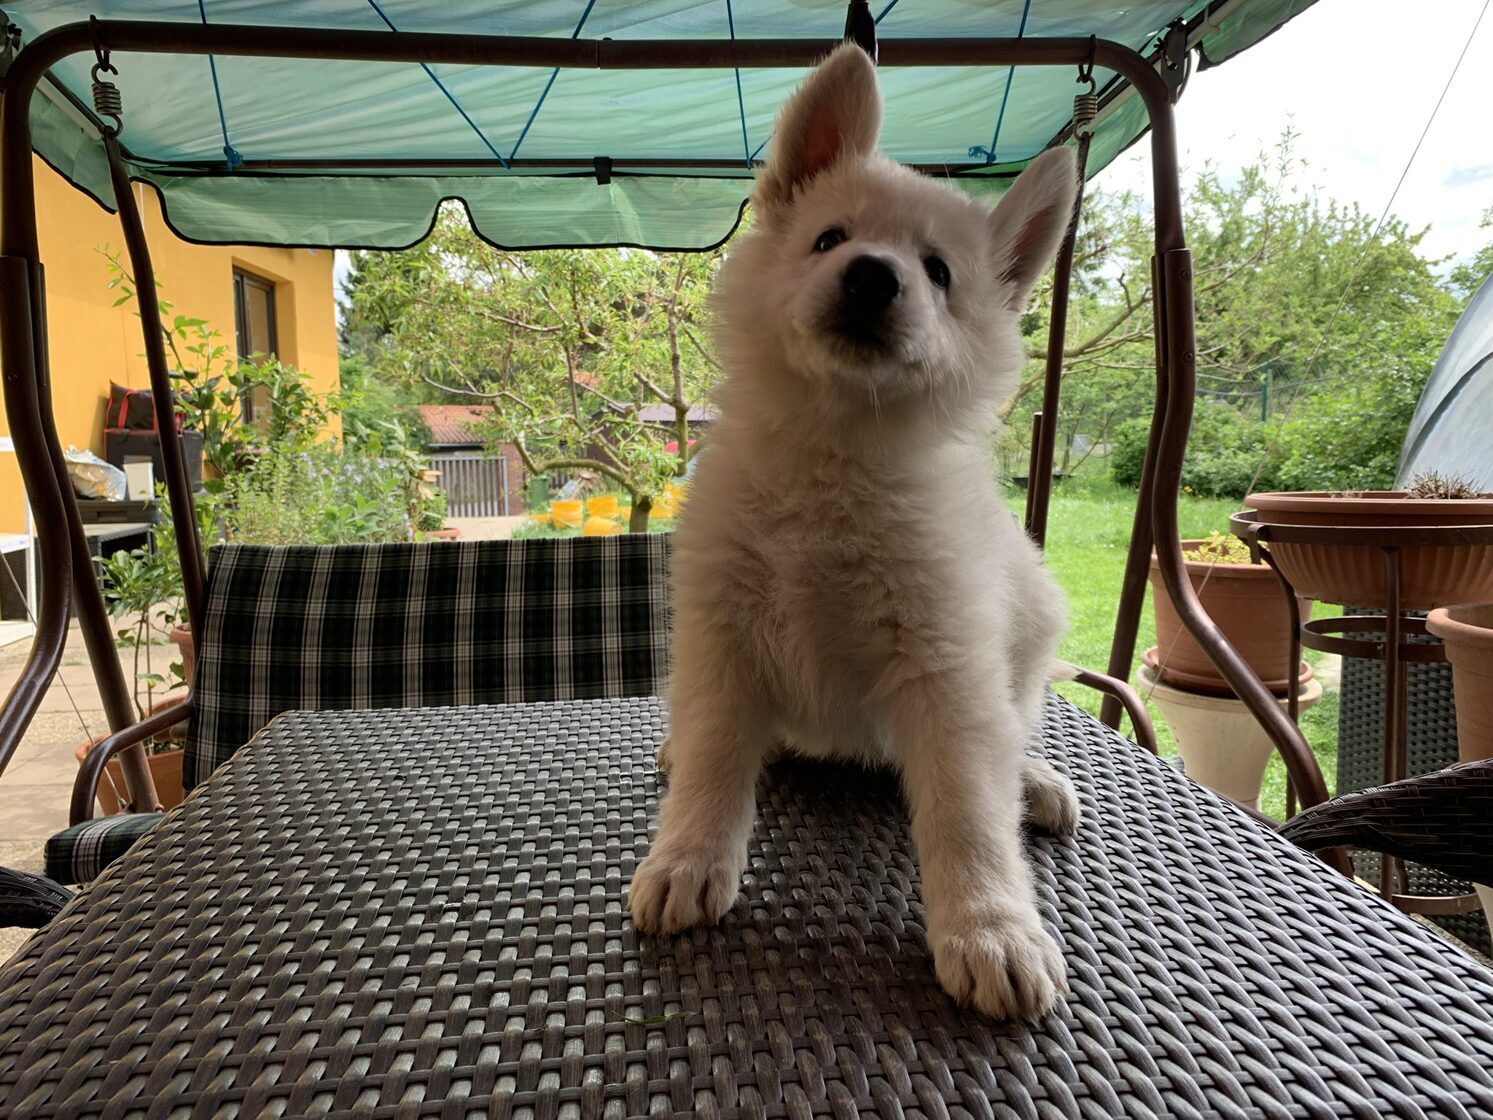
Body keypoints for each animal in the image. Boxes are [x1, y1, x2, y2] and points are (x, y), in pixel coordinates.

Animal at [628, 44, 1080, 1022]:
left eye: (938, 272)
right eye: (829, 238)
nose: (874, 275)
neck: (833, 459)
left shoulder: (947, 669)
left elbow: (964, 814)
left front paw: (990, 929)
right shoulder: (722, 635)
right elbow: (716, 762)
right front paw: (687, 858)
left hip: (1030, 629)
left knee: (1014, 734)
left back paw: (1032, 780)